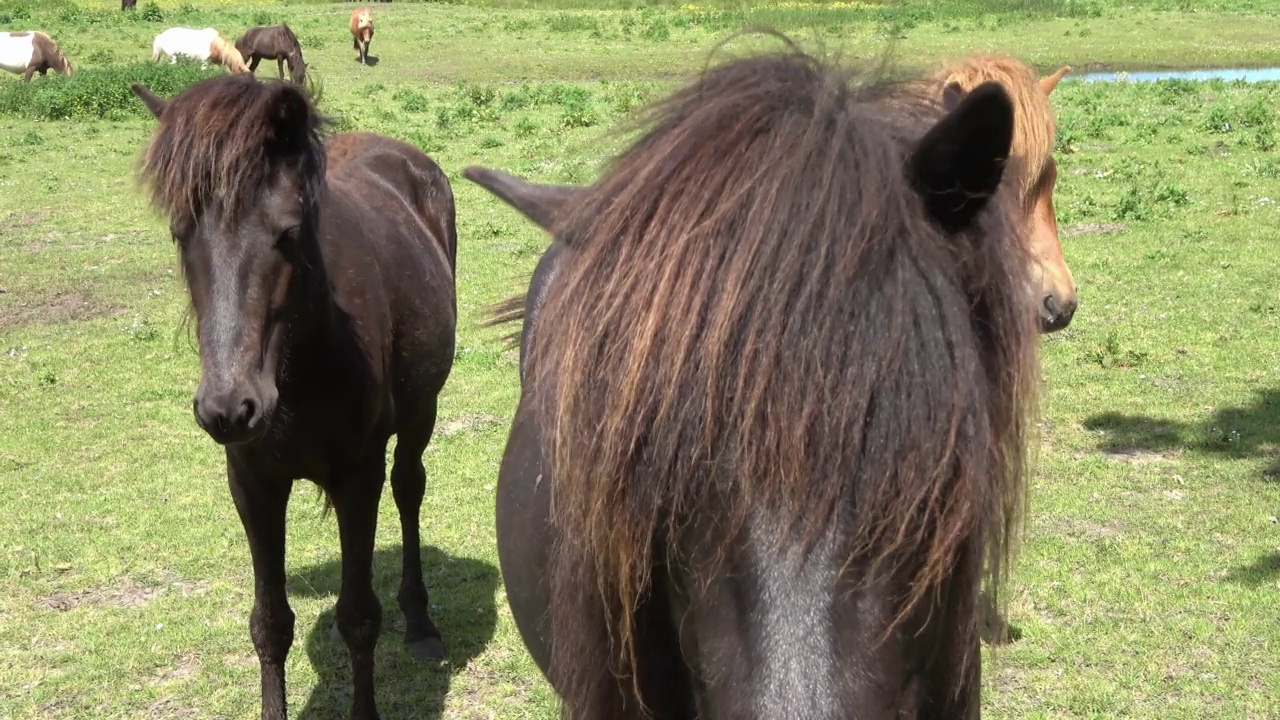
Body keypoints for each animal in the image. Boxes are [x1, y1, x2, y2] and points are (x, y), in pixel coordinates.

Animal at [129, 74, 458, 720]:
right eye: (180, 234)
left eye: (289, 233)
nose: (229, 408)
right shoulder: (253, 483)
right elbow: (270, 623)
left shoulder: (358, 477)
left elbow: (358, 618)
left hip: (420, 415)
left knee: (409, 488)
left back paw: (421, 622)